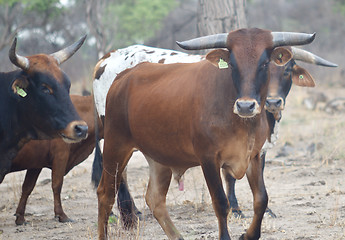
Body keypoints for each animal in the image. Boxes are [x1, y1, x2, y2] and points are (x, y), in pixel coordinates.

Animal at [3, 94, 102, 225]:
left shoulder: (36, 163)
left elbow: (27, 188)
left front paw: (20, 217)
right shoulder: (61, 156)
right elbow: (57, 184)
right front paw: (62, 215)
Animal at [96, 28, 314, 240]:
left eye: (265, 63)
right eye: (232, 64)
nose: (246, 106)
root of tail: (122, 76)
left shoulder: (255, 156)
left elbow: (261, 199)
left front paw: (248, 234)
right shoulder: (208, 159)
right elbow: (221, 202)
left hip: (158, 156)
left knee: (155, 199)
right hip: (115, 146)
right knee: (105, 193)